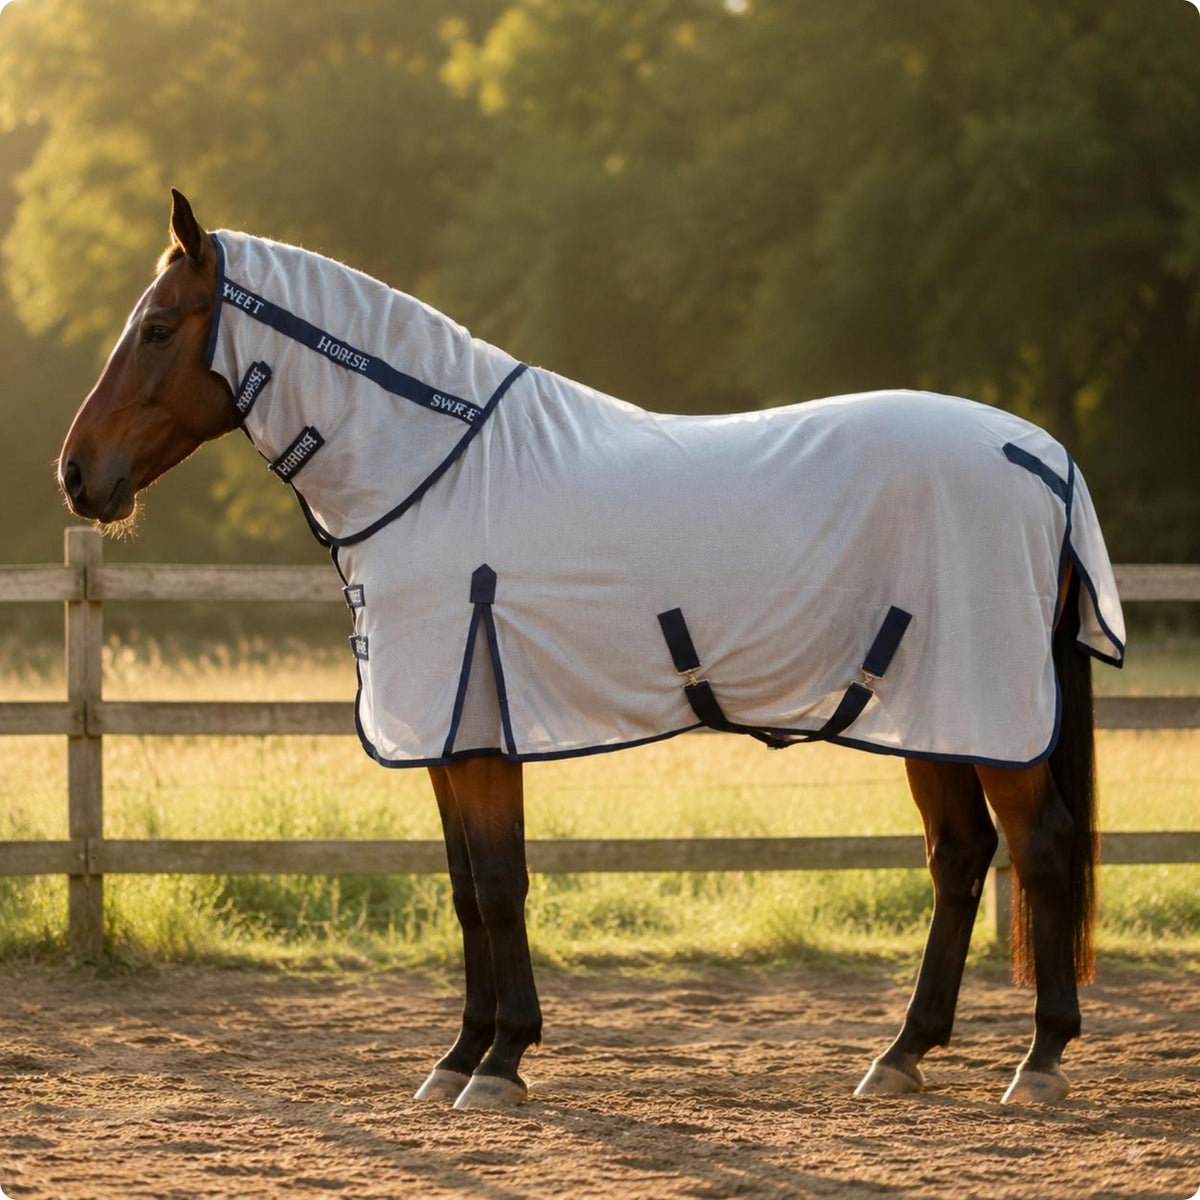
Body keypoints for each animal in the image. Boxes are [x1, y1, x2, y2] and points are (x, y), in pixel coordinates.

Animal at [59, 190, 1125, 1110]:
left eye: (159, 328)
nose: (75, 474)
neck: (441, 473)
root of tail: (1043, 459)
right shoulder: (449, 734)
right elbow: (464, 891)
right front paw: (457, 1057)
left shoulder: (479, 728)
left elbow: (500, 886)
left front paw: (501, 1062)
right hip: (931, 711)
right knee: (961, 857)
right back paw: (902, 1054)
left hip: (987, 712)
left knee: (1041, 849)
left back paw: (1039, 1061)